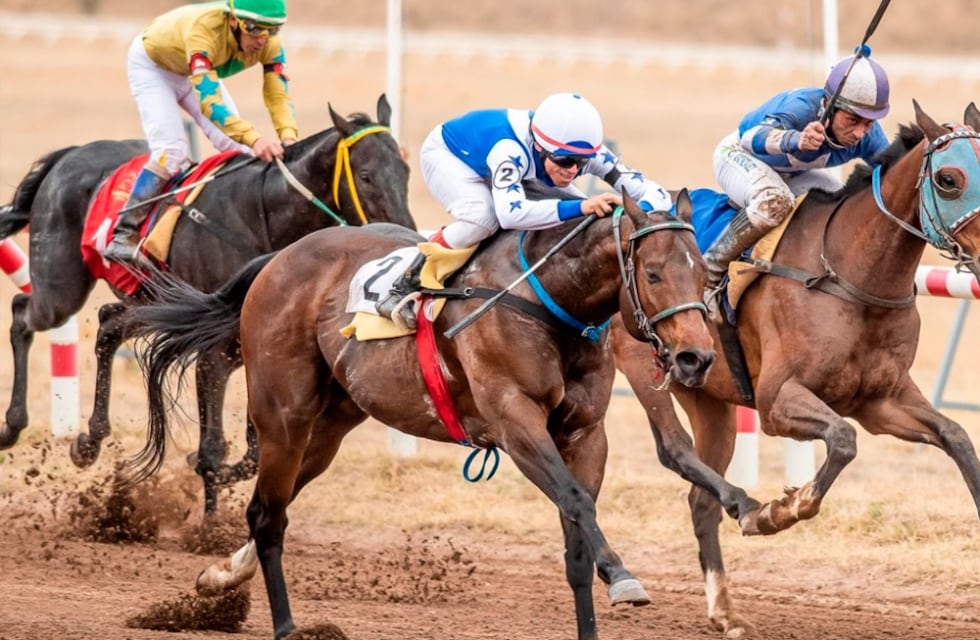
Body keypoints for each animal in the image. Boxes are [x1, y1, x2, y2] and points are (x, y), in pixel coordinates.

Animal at [0, 94, 414, 513]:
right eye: (366, 175)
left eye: (405, 171)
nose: (406, 234)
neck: (262, 214)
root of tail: (68, 156)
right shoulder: (214, 353)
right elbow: (215, 448)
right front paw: (210, 520)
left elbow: (253, 452)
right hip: (62, 290)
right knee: (23, 313)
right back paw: (14, 426)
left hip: (156, 303)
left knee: (109, 323)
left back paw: (89, 441)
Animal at [126, 191, 716, 640]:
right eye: (654, 274)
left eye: (706, 276)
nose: (697, 357)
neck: (549, 299)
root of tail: (277, 259)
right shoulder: (516, 422)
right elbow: (575, 503)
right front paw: (622, 575)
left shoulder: (584, 433)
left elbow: (577, 531)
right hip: (283, 415)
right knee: (270, 515)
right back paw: (288, 626)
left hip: (331, 424)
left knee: (270, 504)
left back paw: (221, 575)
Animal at [611, 100, 980, 638]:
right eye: (949, 180)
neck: (848, 275)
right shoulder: (776, 401)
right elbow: (843, 439)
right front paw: (783, 508)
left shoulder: (882, 401)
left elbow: (956, 437)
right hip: (646, 364)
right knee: (671, 451)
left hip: (709, 396)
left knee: (701, 500)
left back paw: (725, 610)